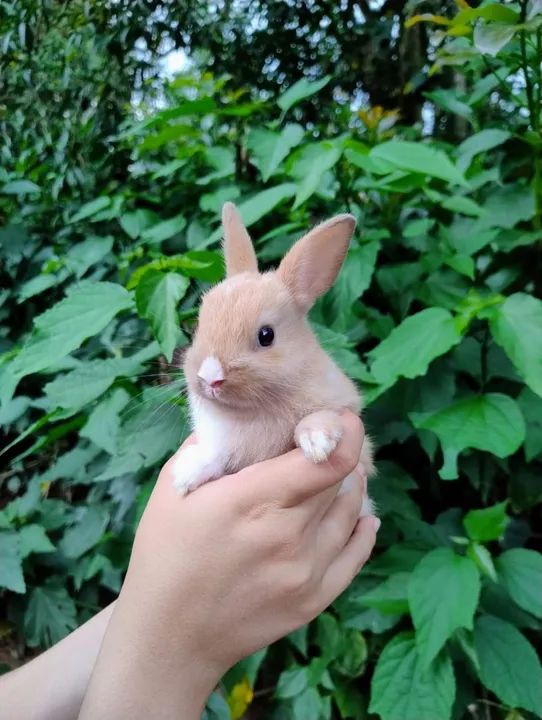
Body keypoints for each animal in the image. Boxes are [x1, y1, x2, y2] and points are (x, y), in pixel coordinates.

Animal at [172, 202, 375, 516]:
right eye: (198, 325)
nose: (210, 378)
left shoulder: (346, 412)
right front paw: (186, 473)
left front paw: (316, 443)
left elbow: (322, 416)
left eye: (266, 335)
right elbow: (216, 457)